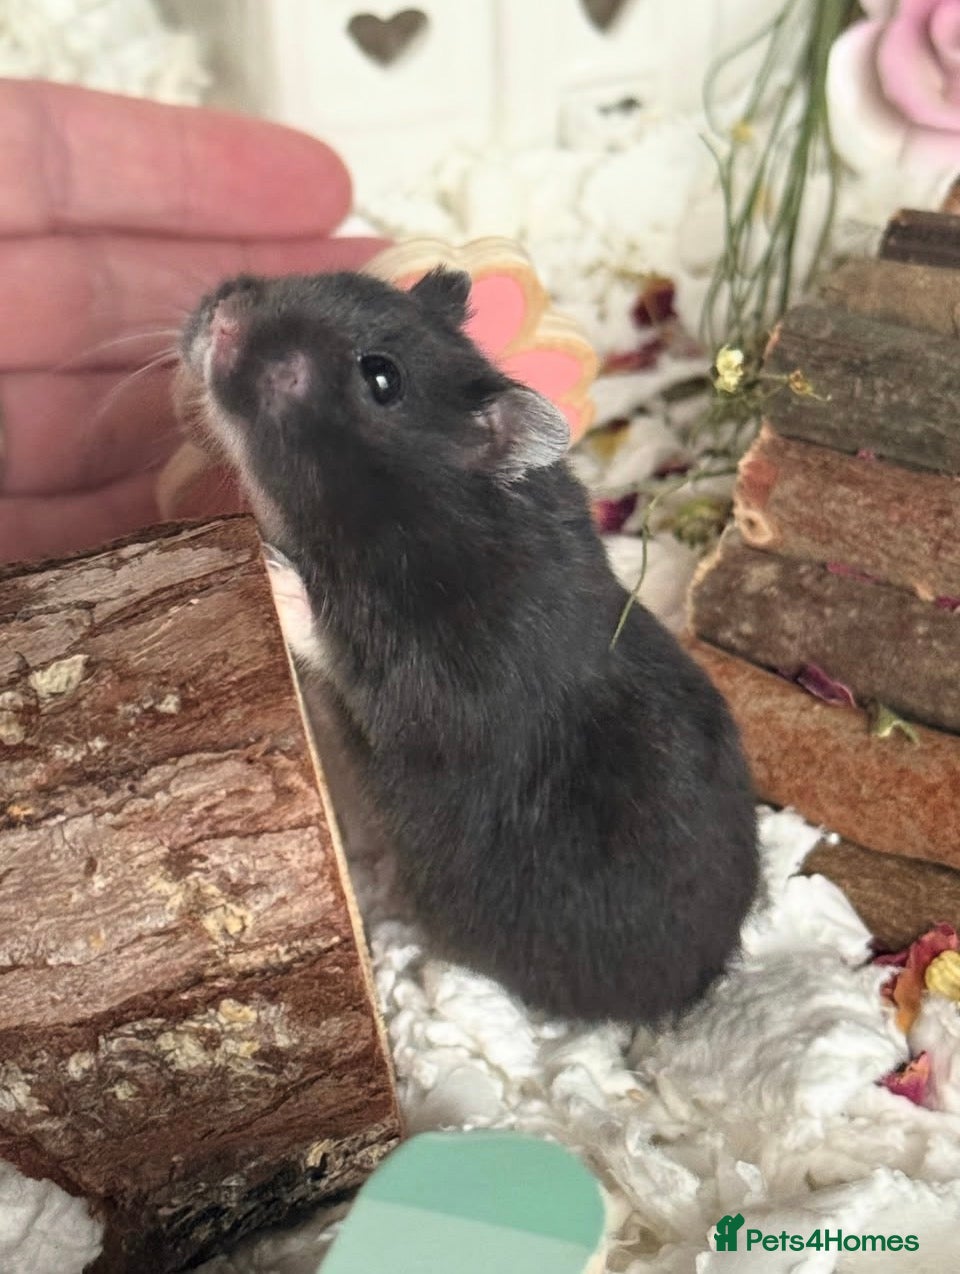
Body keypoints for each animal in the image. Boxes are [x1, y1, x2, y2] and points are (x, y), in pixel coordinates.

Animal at [179, 267, 758, 1024]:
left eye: (382, 378)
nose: (224, 317)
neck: (421, 508)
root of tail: (707, 979)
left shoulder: (431, 685)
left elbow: (333, 637)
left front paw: (271, 566)